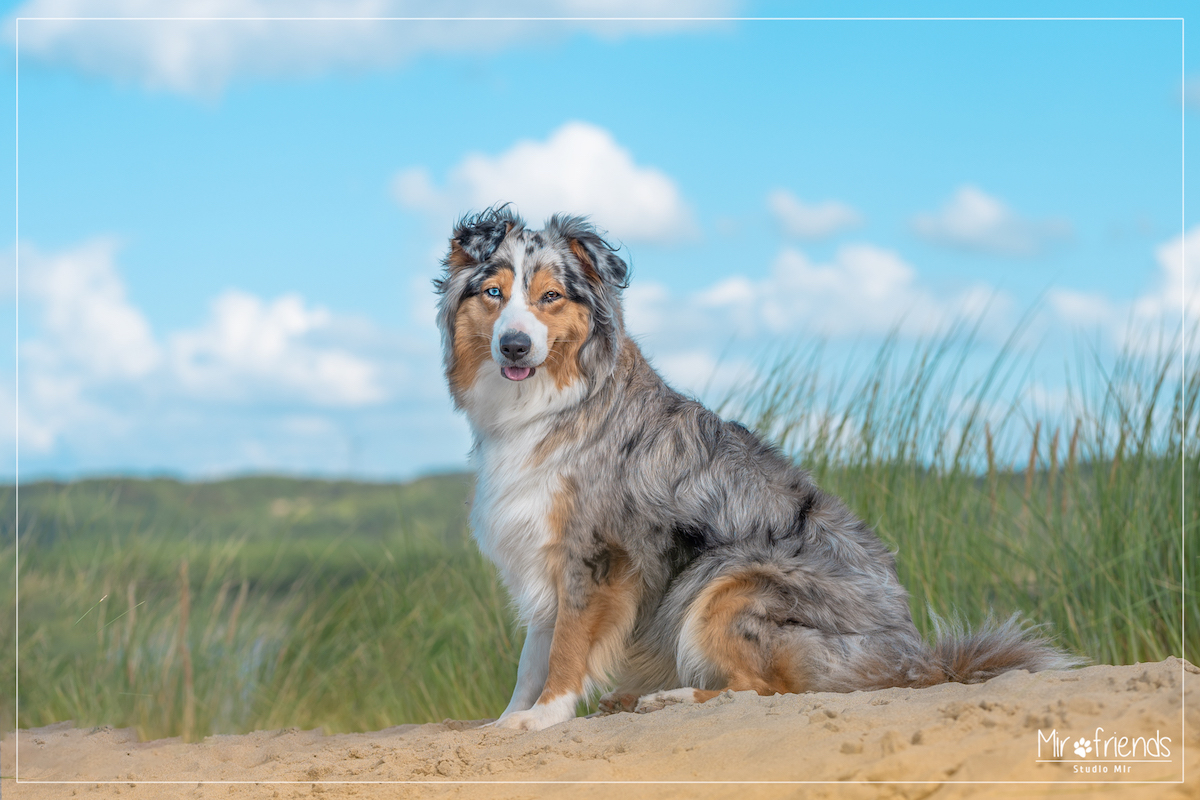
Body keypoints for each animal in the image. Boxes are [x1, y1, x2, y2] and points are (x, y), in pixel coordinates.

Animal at [434, 205, 1080, 734]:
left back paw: (667, 699)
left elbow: (566, 646)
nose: (515, 346)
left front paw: (546, 716)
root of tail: (919, 660)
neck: (552, 402)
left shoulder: (595, 552)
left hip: (728, 580)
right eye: (493, 293)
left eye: (550, 298)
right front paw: (508, 719)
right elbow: (534, 654)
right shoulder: (543, 547)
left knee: (760, 689)